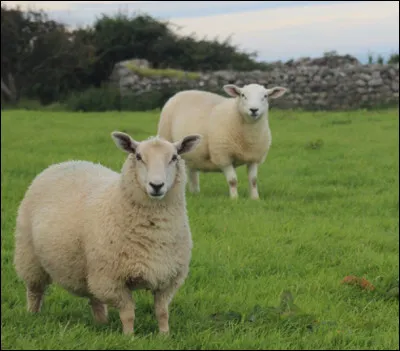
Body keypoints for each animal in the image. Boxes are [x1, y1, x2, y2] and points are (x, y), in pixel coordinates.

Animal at [13, 131, 203, 336]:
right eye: (138, 156)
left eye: (174, 157)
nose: (157, 185)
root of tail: (64, 163)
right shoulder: (112, 280)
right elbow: (128, 313)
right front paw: (129, 337)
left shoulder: (168, 279)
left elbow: (162, 312)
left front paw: (164, 336)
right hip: (30, 256)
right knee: (34, 291)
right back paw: (33, 315)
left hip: (89, 267)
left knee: (94, 297)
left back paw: (101, 322)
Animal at [157, 82, 288, 198]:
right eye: (243, 95)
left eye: (265, 96)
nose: (254, 110)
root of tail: (182, 92)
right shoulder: (223, 156)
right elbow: (233, 180)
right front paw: (234, 199)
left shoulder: (254, 157)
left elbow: (253, 180)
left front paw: (255, 198)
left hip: (192, 153)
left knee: (192, 171)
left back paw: (195, 193)